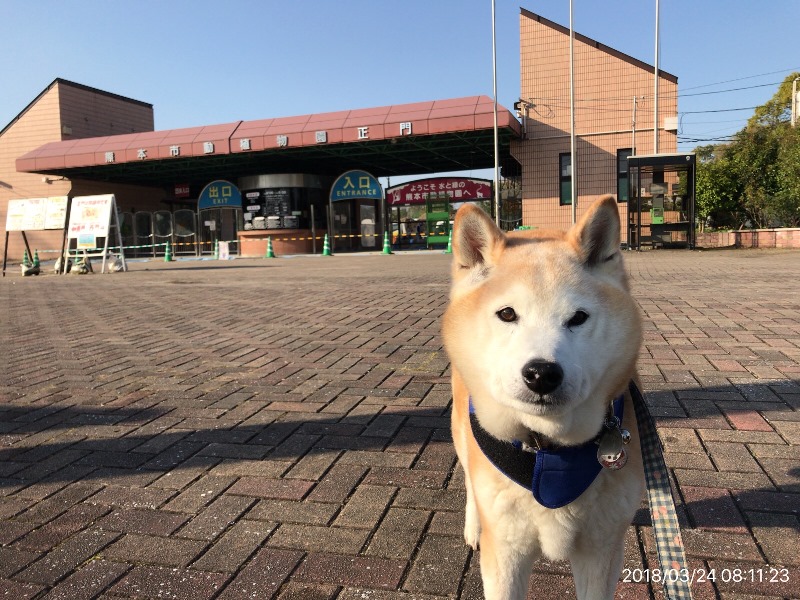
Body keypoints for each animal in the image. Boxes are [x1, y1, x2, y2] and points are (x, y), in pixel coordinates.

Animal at [443, 195, 645, 600]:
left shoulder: (601, 551)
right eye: (507, 314)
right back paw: (473, 526)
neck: (548, 450)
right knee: (469, 478)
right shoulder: (505, 554)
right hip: (461, 429)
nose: (542, 374)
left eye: (578, 318)